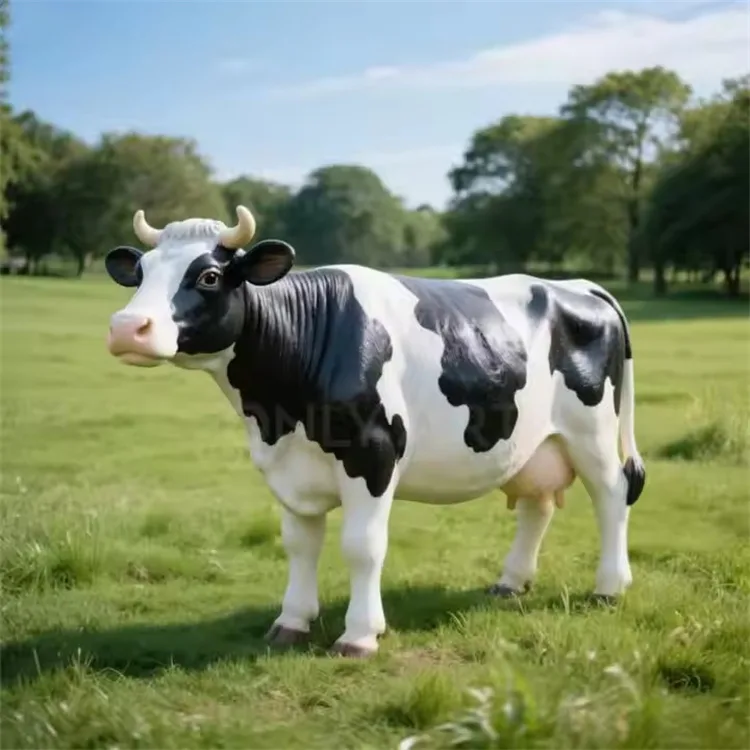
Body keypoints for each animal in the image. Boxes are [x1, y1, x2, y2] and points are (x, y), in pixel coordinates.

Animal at [104, 205, 646, 657]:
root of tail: (578, 285)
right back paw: (510, 582)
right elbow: (299, 544)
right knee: (538, 505)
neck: (277, 414)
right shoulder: (288, 467)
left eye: (209, 275)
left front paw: (360, 635)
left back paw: (608, 587)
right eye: (142, 273)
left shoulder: (373, 454)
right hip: (532, 441)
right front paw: (291, 622)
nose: (127, 327)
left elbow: (361, 547)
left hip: (593, 433)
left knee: (612, 496)